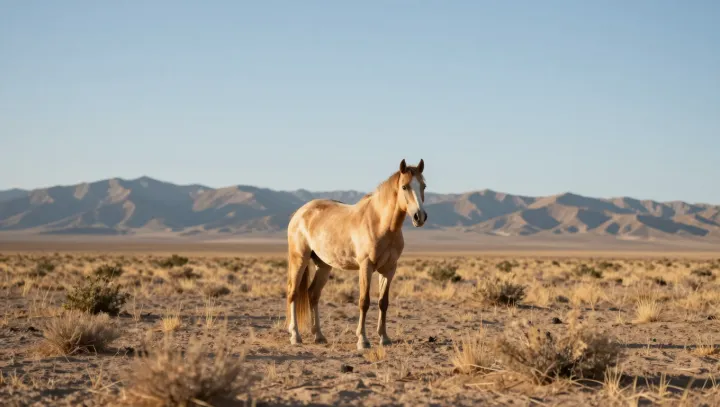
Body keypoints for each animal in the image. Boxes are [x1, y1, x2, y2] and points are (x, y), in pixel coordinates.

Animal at [285, 159, 428, 350]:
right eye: (404, 187)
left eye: (423, 186)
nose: (420, 217)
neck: (380, 224)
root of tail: (299, 213)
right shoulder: (365, 267)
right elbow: (364, 302)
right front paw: (362, 340)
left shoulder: (389, 269)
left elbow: (383, 302)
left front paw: (384, 338)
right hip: (299, 258)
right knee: (293, 293)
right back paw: (295, 336)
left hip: (324, 265)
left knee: (313, 294)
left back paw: (319, 335)